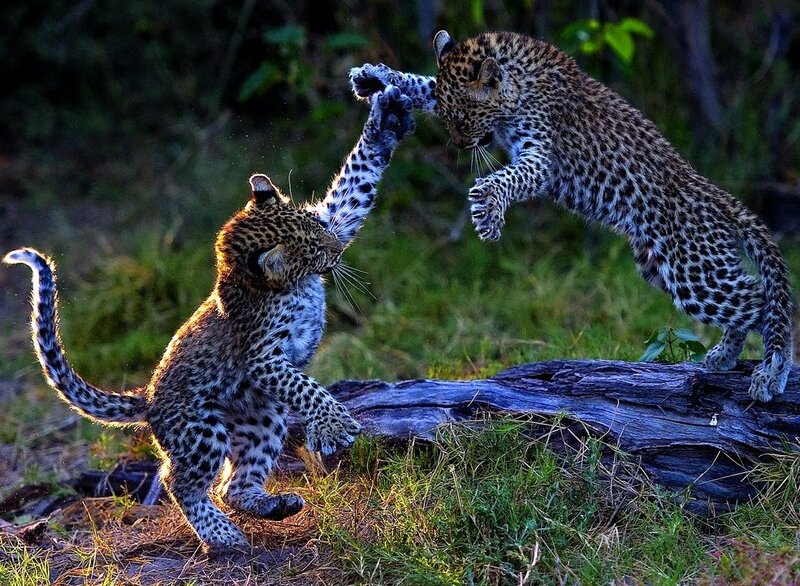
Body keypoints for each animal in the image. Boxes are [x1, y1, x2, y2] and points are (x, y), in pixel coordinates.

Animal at [3, 86, 415, 552]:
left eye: (318, 226)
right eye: (311, 249)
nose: (338, 248)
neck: (280, 284)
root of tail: (148, 398)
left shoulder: (337, 213)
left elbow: (354, 185)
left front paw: (385, 119)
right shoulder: (263, 358)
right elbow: (307, 388)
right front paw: (336, 424)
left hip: (261, 417)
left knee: (232, 485)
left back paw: (277, 506)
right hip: (201, 430)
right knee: (179, 481)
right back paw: (222, 535)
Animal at [350, 30, 794, 402]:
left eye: (461, 119)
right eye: (445, 117)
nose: (457, 144)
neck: (518, 83)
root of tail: (721, 199)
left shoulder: (541, 156)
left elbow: (508, 177)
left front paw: (488, 208)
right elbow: (425, 82)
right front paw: (373, 76)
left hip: (694, 270)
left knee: (765, 302)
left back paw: (772, 370)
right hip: (660, 266)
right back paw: (725, 356)